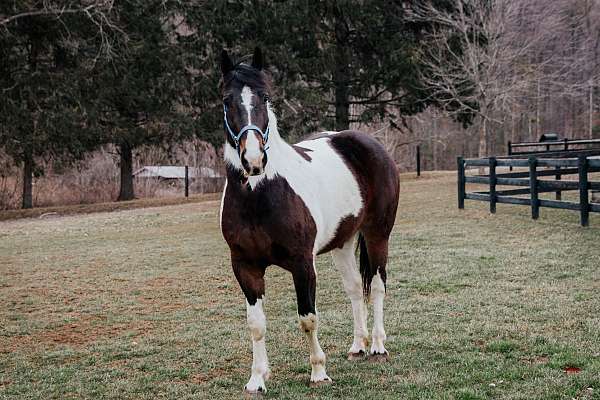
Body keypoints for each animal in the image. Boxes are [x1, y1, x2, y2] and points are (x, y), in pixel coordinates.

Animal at [219, 47, 398, 394]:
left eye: (263, 97)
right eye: (226, 100)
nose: (253, 159)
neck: (260, 193)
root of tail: (366, 143)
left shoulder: (302, 264)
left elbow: (307, 318)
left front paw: (318, 372)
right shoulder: (245, 266)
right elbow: (256, 325)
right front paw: (257, 378)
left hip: (377, 235)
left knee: (377, 287)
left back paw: (377, 346)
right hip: (342, 242)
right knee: (354, 289)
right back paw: (358, 345)